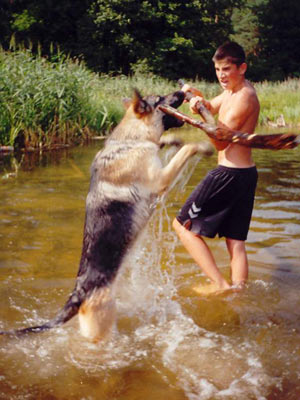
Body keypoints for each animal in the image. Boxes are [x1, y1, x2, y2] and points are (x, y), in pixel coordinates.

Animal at [0, 88, 212, 340]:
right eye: (160, 98)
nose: (182, 90)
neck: (131, 140)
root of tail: (80, 294)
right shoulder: (161, 180)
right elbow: (187, 149)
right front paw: (202, 145)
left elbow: (167, 142)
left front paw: (172, 140)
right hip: (103, 324)